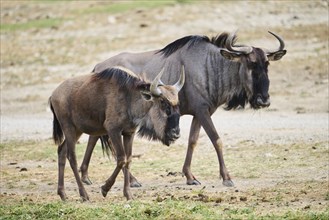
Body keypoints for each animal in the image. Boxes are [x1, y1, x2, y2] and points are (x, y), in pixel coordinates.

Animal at [50, 65, 186, 201]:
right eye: (163, 102)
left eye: (178, 103)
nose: (175, 134)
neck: (129, 98)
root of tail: (53, 95)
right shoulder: (113, 131)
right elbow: (121, 159)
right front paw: (105, 188)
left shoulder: (129, 133)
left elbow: (128, 160)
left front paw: (128, 194)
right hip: (68, 128)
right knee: (71, 157)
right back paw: (84, 194)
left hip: (76, 130)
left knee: (61, 151)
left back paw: (62, 193)